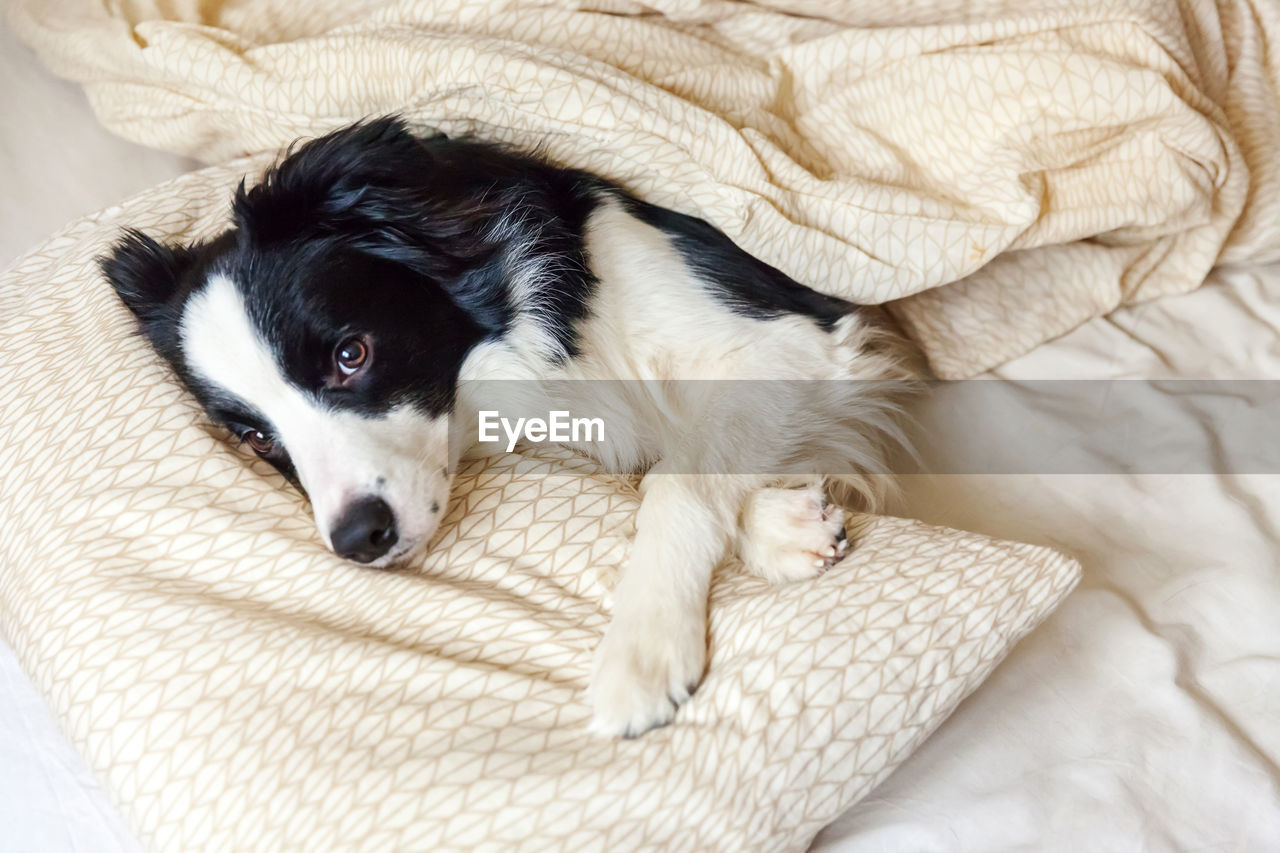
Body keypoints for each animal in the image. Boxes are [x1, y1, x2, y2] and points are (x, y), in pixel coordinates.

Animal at [102, 116, 911, 732]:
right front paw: (785, 526)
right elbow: (680, 462)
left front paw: (643, 650)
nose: (359, 540)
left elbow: (677, 479)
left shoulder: (786, 337)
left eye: (350, 353)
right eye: (258, 438)